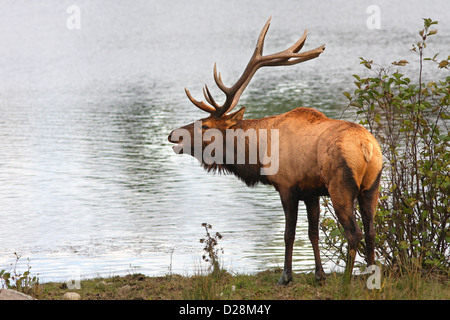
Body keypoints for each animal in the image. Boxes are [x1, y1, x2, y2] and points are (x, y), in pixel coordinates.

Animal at [167, 17, 382, 284]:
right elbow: (312, 232)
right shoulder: (311, 191)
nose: (173, 133)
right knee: (372, 230)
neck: (257, 155)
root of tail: (367, 147)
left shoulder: (287, 185)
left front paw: (286, 276)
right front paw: (319, 274)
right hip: (371, 186)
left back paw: (345, 282)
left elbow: (289, 234)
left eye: (205, 125)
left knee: (355, 233)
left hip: (340, 186)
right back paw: (370, 278)